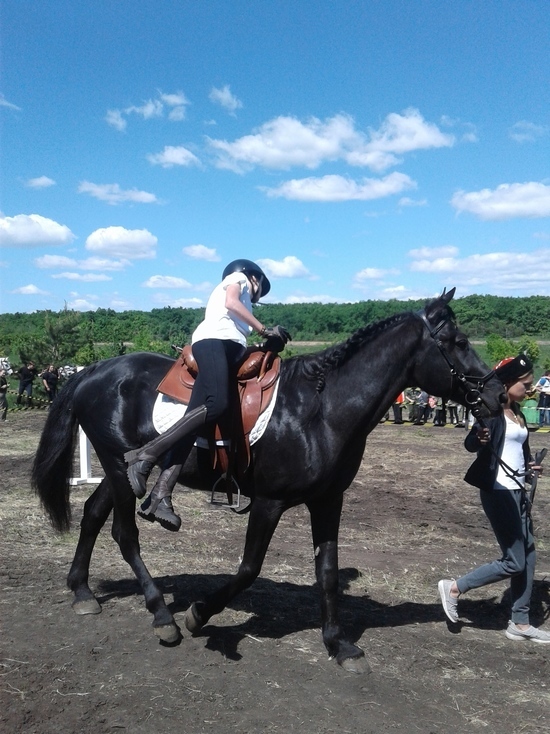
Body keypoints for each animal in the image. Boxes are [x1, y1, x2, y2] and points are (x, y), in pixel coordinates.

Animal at [30, 288, 504, 672]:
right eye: (458, 342)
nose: (499, 393)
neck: (319, 409)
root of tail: (93, 370)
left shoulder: (328, 501)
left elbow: (327, 572)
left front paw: (339, 645)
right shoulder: (269, 501)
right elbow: (248, 568)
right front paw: (199, 614)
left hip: (122, 474)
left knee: (93, 515)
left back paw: (82, 592)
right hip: (115, 467)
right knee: (125, 534)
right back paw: (163, 616)